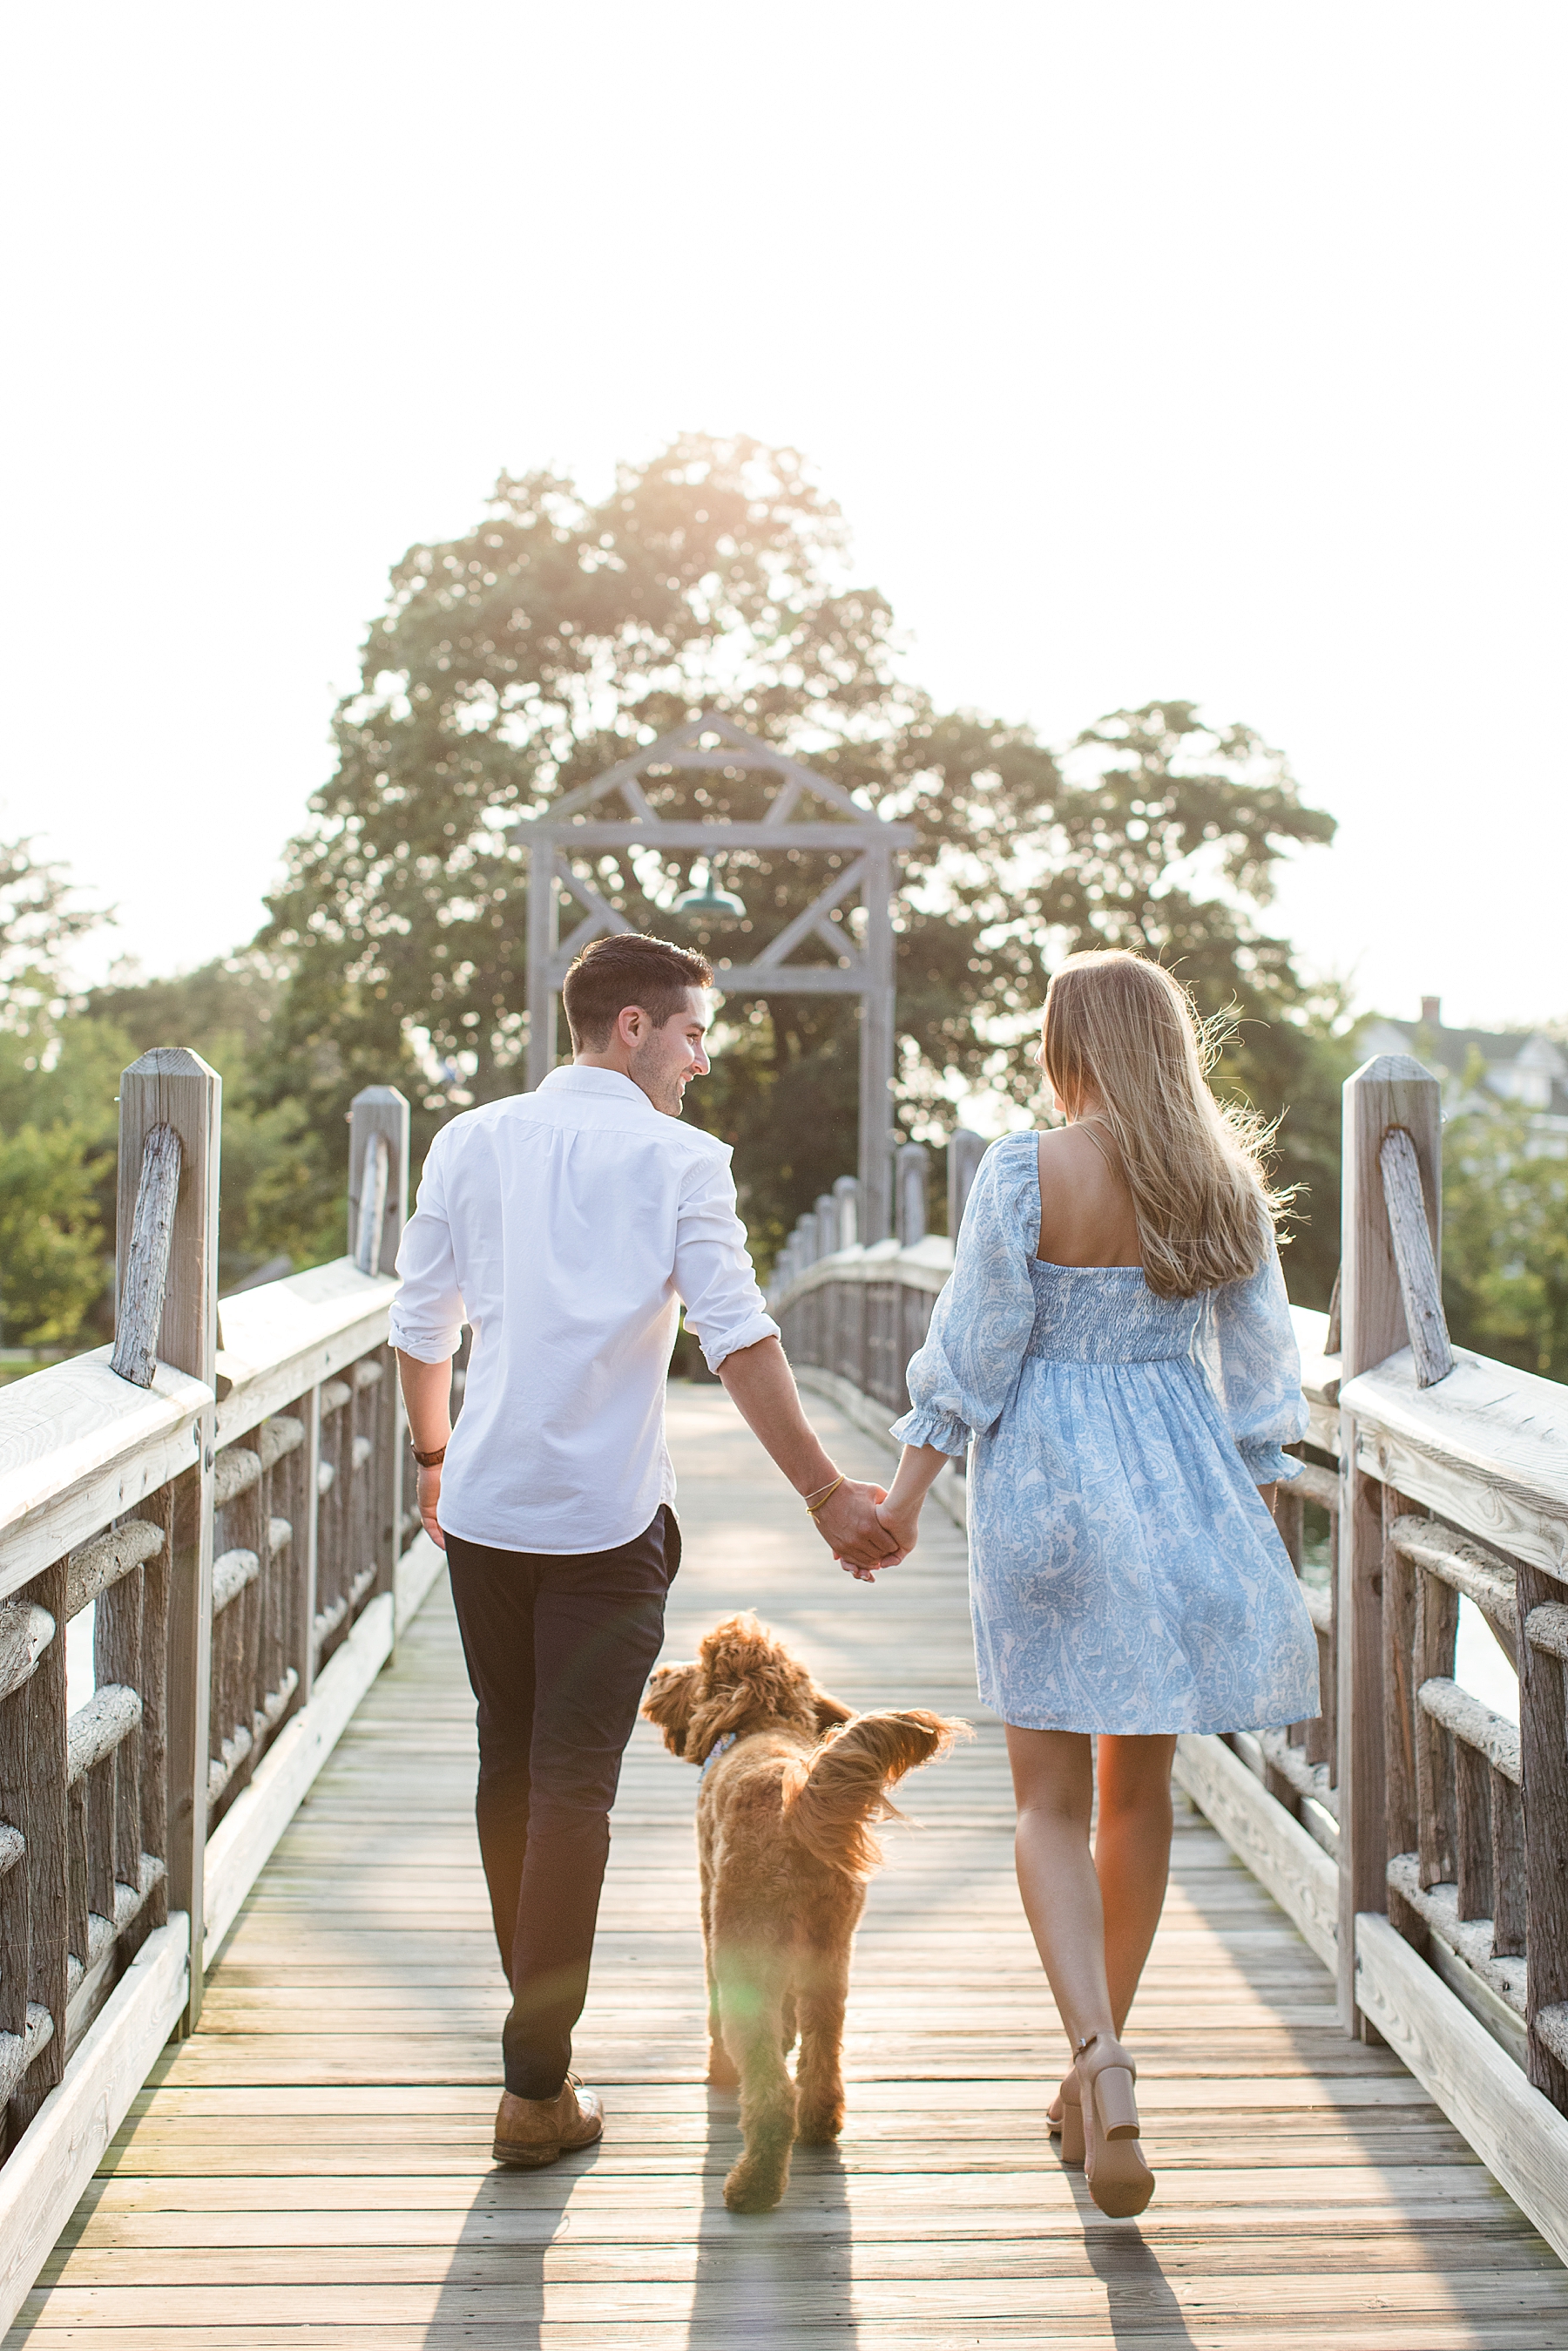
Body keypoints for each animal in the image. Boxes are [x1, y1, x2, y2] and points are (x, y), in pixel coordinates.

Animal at [639, 1608, 968, 2210]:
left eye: (700, 1665)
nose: (656, 1675)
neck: (763, 1727)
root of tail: (794, 1811)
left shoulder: (709, 1910)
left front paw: (719, 2069)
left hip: (744, 1945)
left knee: (770, 2090)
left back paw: (752, 2184)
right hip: (829, 1955)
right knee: (823, 2051)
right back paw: (819, 2121)